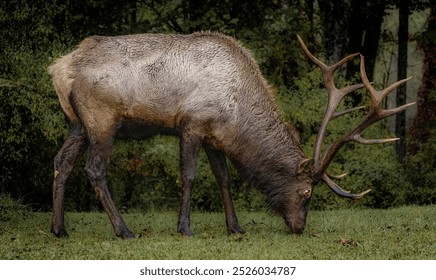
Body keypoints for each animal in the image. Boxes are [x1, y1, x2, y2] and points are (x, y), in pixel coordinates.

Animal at [49, 31, 414, 237]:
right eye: (307, 192)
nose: (299, 228)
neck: (236, 115)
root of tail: (60, 68)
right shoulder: (193, 123)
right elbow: (189, 176)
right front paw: (184, 228)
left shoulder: (215, 136)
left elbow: (224, 179)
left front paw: (235, 227)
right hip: (102, 119)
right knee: (94, 170)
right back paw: (123, 230)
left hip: (78, 123)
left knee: (61, 162)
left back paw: (59, 228)